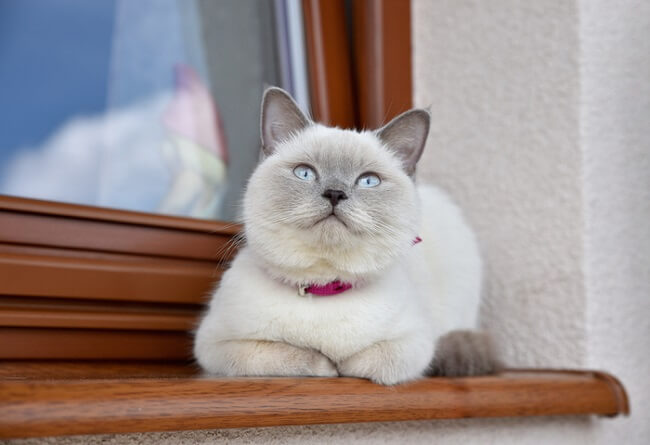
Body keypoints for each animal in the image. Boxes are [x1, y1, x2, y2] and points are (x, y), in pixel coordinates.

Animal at [192, 87, 496, 386]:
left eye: (368, 181)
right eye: (305, 173)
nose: (335, 193)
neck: (325, 286)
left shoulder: (414, 343)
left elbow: (367, 362)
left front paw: (340, 365)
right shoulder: (216, 345)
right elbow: (295, 356)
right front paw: (327, 365)